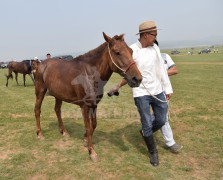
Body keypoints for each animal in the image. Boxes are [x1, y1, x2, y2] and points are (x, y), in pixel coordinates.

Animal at [34, 32, 142, 162]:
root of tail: (40, 64)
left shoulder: (94, 105)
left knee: (57, 110)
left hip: (58, 95)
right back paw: (40, 134)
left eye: (131, 51)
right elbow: (88, 127)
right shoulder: (84, 106)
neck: (89, 74)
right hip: (40, 92)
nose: (137, 79)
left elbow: (93, 125)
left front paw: (85, 139)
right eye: (117, 52)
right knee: (37, 110)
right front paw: (92, 152)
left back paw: (63, 131)